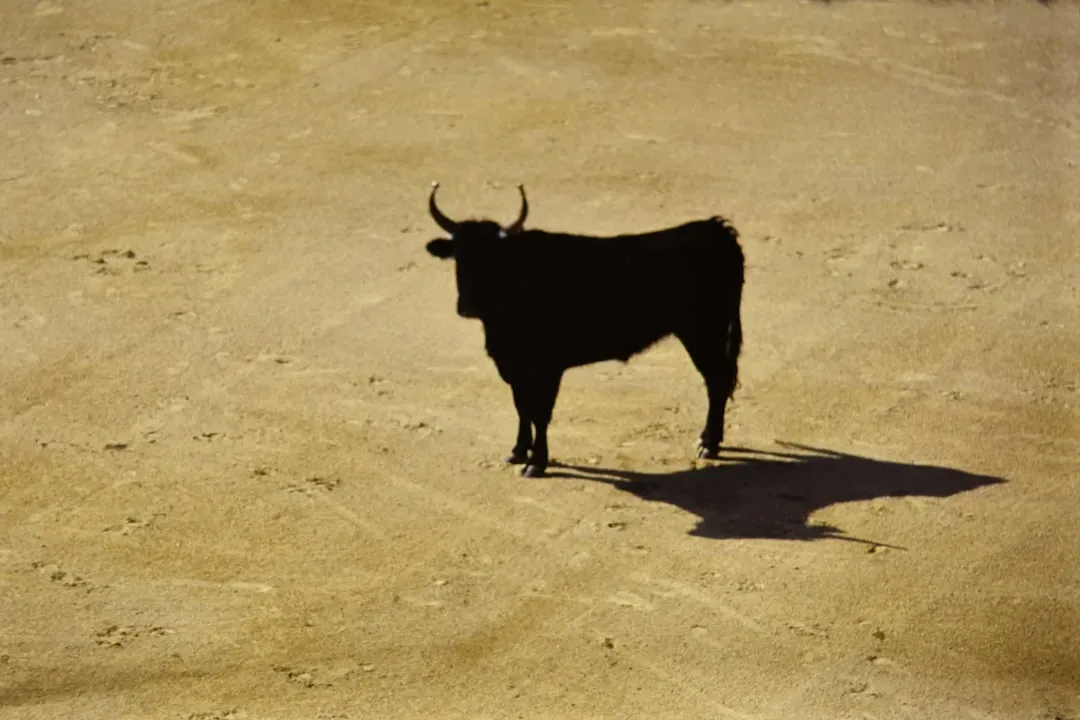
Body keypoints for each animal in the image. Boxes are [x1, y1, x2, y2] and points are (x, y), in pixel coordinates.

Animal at [425, 182, 745, 478]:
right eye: (458, 257)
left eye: (495, 260)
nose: (468, 306)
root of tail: (714, 228)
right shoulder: (513, 365)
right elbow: (521, 407)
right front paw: (517, 451)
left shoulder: (547, 367)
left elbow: (539, 412)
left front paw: (536, 462)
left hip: (704, 332)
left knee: (716, 380)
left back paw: (708, 443)